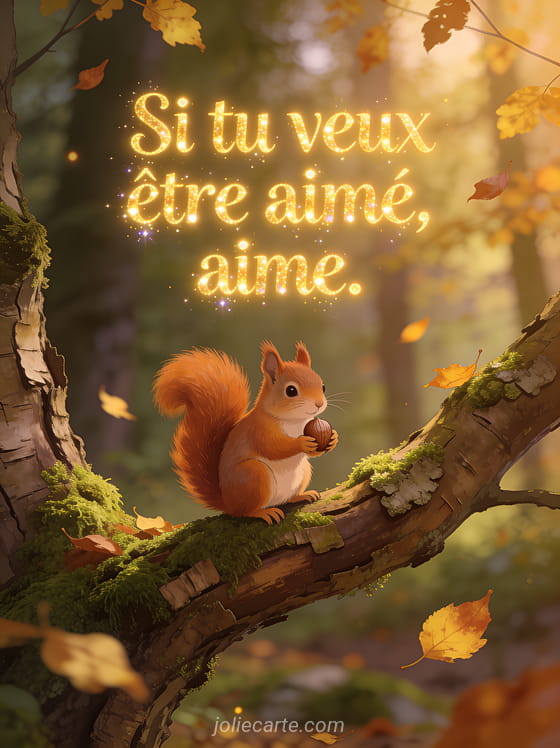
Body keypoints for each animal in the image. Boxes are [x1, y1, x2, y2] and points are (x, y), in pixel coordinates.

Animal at [153, 341, 338, 524]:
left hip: (303, 471)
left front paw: (333, 438)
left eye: (323, 386)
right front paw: (301, 442)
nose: (319, 404)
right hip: (254, 475)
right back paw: (263, 512)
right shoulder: (258, 430)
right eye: (291, 391)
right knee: (243, 512)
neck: (295, 421)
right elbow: (273, 448)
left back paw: (301, 496)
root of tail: (227, 502)